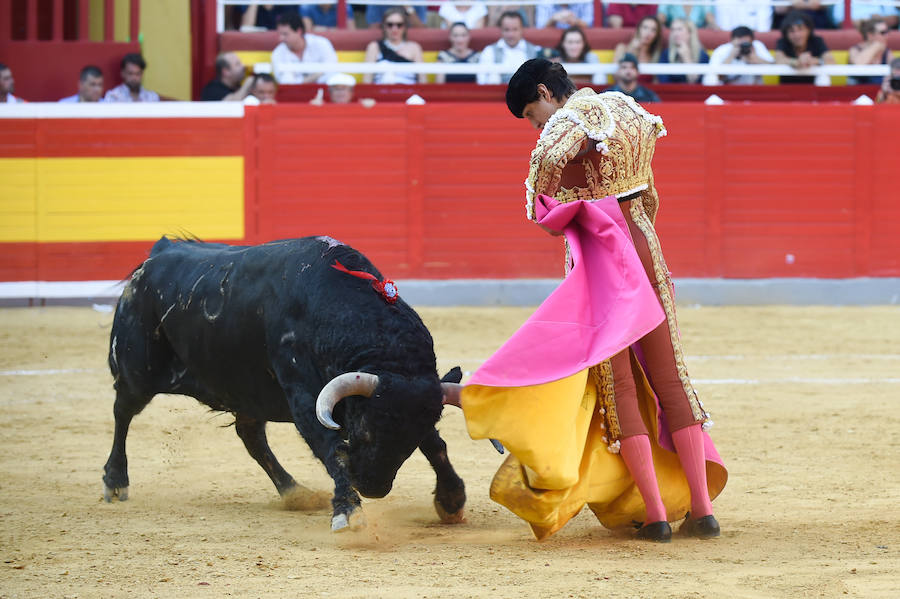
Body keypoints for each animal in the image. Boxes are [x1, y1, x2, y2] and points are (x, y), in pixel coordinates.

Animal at [104, 237, 468, 532]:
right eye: (364, 432)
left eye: (409, 442)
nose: (372, 487)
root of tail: (156, 254)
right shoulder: (305, 398)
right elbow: (332, 449)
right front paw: (347, 511)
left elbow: (436, 445)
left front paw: (451, 499)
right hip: (137, 370)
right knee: (122, 411)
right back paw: (115, 481)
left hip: (246, 390)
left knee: (251, 437)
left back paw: (295, 493)